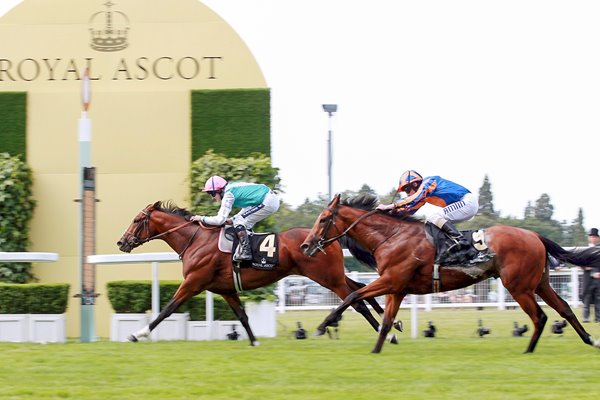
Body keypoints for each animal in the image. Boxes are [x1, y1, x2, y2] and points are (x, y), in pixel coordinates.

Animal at [116, 202, 384, 346]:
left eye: (137, 220)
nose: (121, 242)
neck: (195, 239)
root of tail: (328, 238)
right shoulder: (226, 289)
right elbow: (242, 317)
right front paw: (254, 341)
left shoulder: (193, 282)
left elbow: (167, 309)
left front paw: (137, 334)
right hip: (332, 275)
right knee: (359, 287)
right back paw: (385, 317)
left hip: (326, 277)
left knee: (356, 301)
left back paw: (383, 331)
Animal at [302, 194, 600, 354]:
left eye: (323, 219)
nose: (306, 245)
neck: (391, 236)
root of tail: (535, 235)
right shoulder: (397, 288)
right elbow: (385, 321)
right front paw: (379, 347)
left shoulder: (390, 281)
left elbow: (352, 296)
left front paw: (322, 325)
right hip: (539, 283)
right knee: (564, 309)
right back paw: (590, 339)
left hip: (519, 286)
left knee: (540, 316)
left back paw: (528, 350)